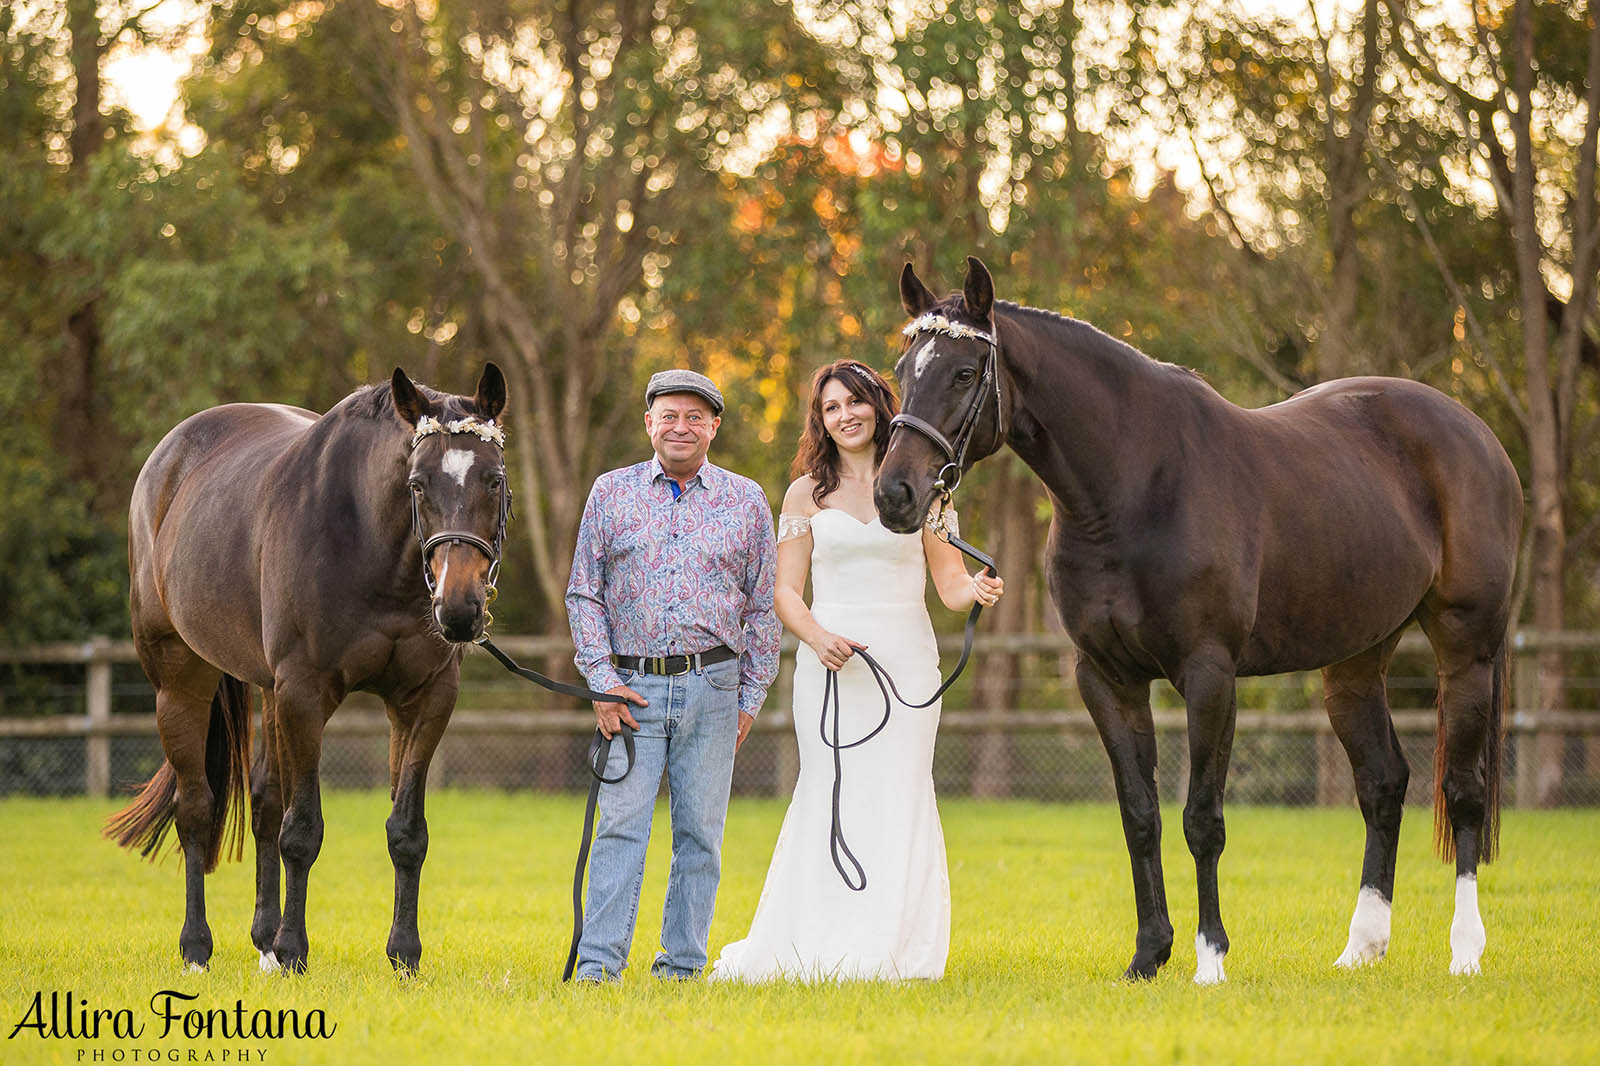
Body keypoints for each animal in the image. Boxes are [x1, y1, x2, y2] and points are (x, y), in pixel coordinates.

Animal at [108, 363, 505, 973]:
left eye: (494, 480)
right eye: (417, 484)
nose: (460, 609)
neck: (369, 541)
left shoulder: (425, 699)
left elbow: (405, 832)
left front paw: (404, 956)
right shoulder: (305, 693)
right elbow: (302, 831)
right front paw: (295, 949)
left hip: (268, 692)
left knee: (265, 803)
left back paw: (264, 942)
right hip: (180, 682)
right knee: (195, 809)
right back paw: (198, 948)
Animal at [883, 257, 1516, 979]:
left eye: (965, 372)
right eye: (901, 370)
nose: (894, 493)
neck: (1133, 488)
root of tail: (1476, 433)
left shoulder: (1209, 677)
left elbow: (1201, 820)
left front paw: (1209, 957)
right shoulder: (1107, 679)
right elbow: (1140, 815)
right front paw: (1148, 955)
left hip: (1467, 649)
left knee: (1463, 792)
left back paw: (1465, 952)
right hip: (1356, 662)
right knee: (1384, 784)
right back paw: (1361, 948)